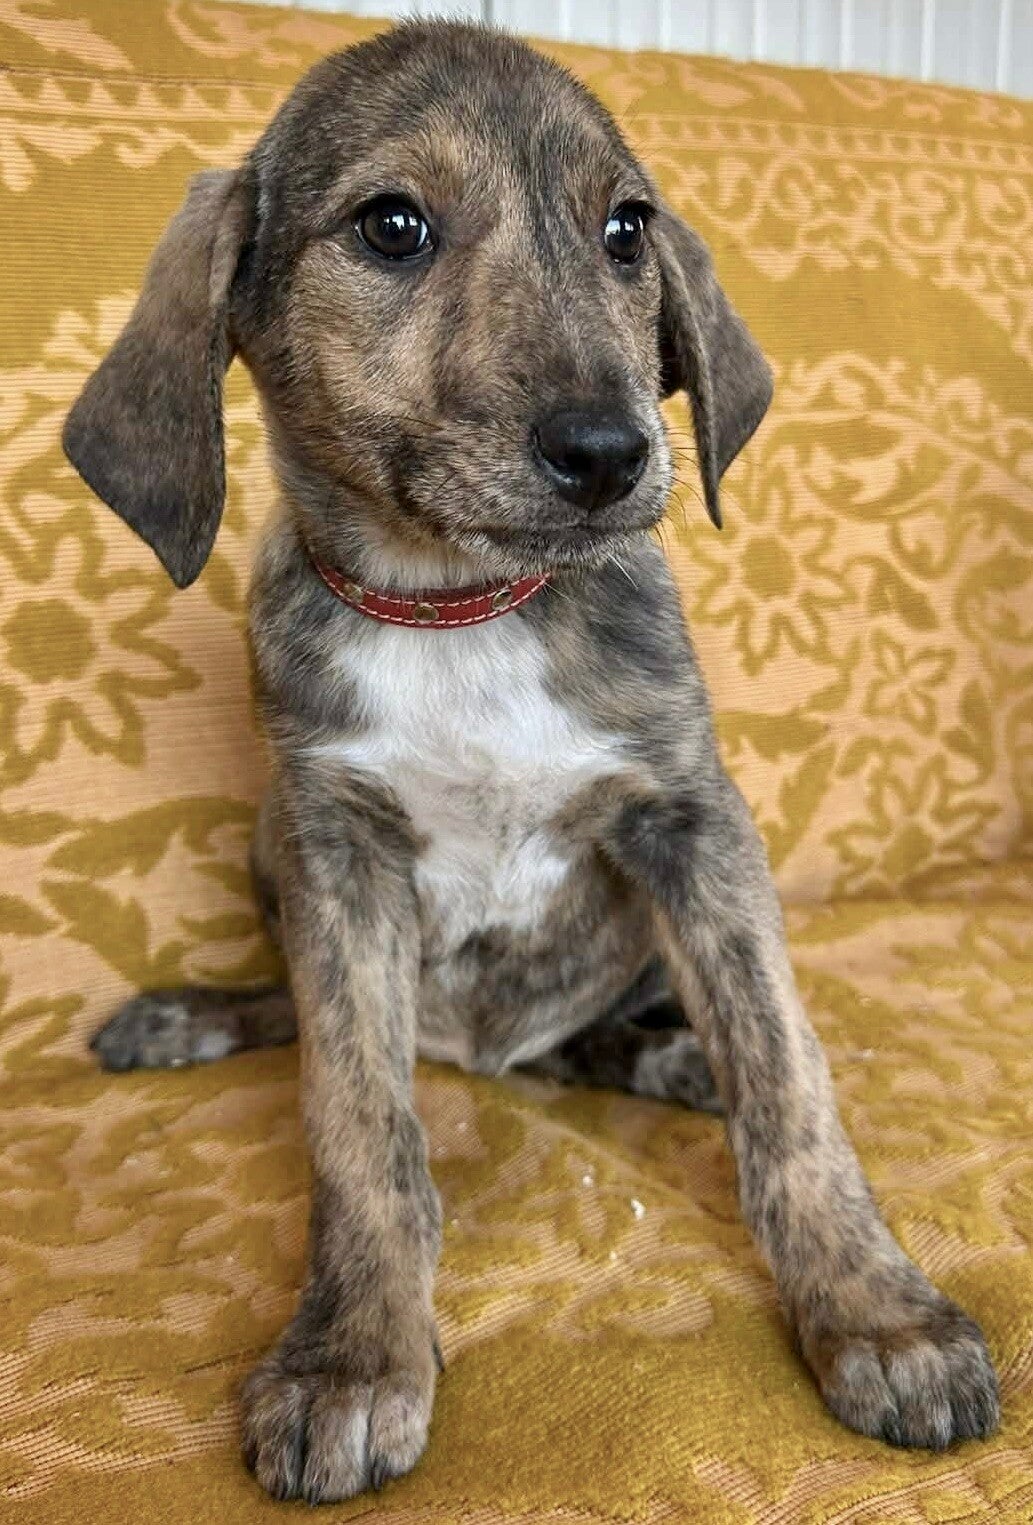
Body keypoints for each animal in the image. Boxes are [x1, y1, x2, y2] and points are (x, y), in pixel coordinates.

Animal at [62, 22, 999, 1505]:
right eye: (391, 226)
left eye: (627, 230)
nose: (610, 451)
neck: (462, 609)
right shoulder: (334, 845)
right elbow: (357, 1119)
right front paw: (355, 1353)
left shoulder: (691, 818)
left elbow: (789, 1082)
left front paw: (875, 1312)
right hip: (269, 846)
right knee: (332, 1028)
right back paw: (197, 1016)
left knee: (637, 1034)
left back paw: (675, 1063)